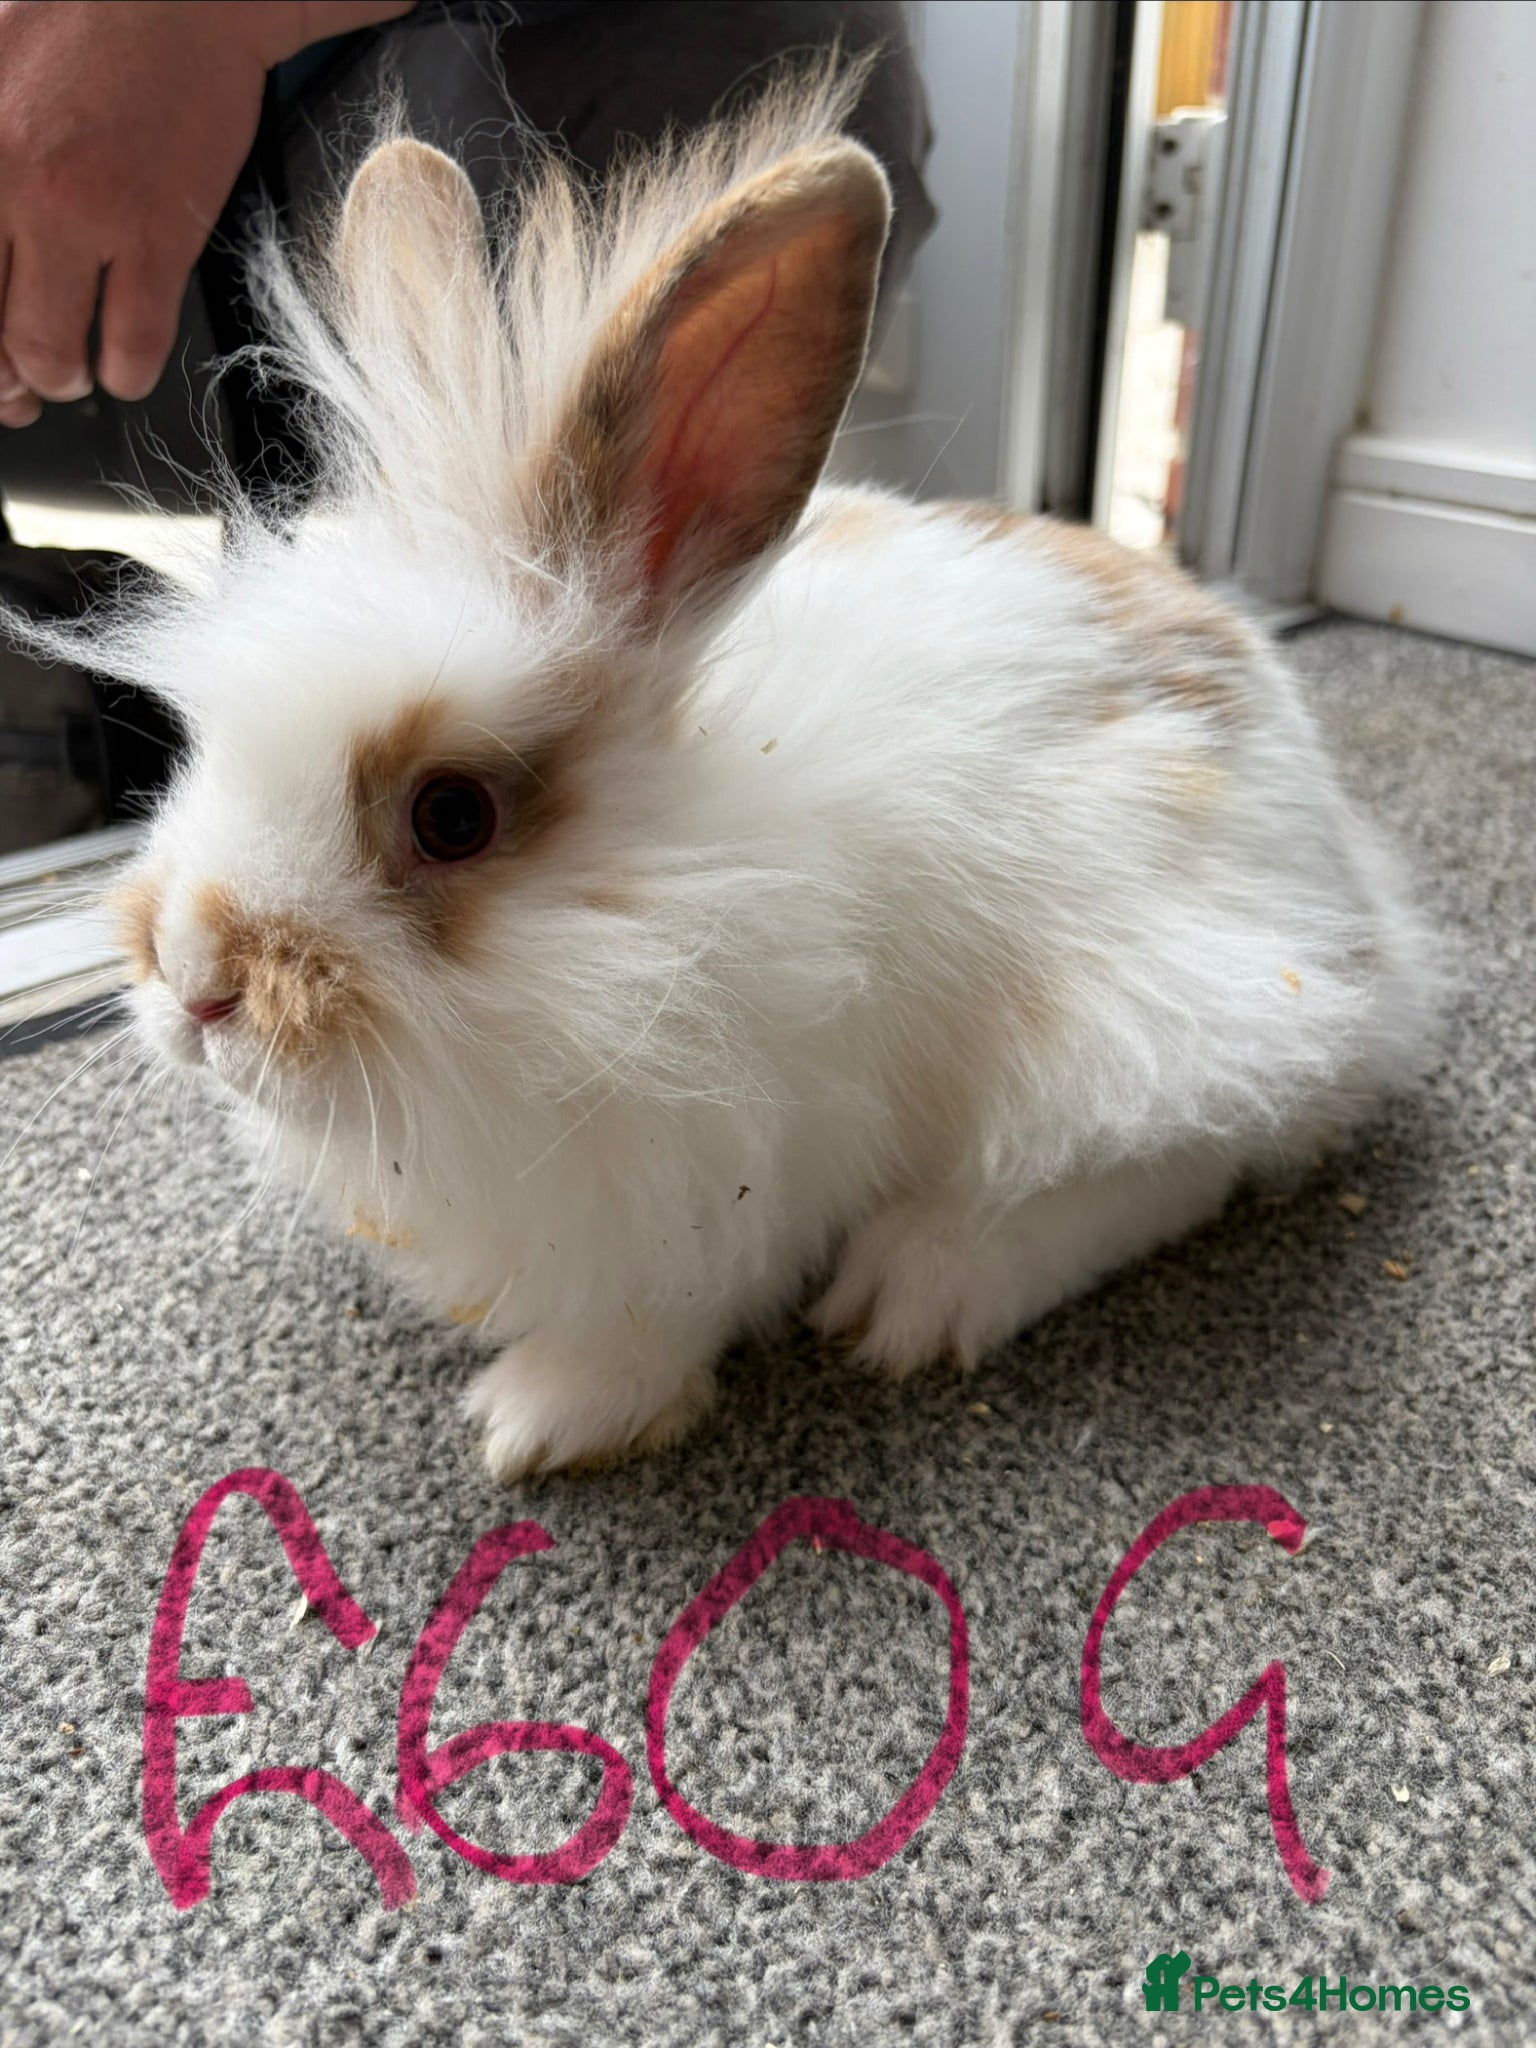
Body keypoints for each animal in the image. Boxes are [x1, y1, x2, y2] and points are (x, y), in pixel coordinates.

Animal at [44, 69, 1434, 1478]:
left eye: (452, 815)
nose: (195, 981)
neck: (657, 895)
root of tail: (1347, 883)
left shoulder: (719, 1180)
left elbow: (660, 1322)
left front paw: (535, 1417)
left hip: (1145, 1010)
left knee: (1184, 1155)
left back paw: (924, 1282)